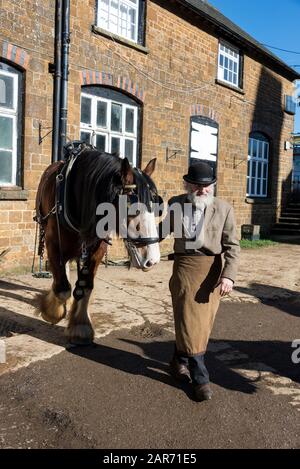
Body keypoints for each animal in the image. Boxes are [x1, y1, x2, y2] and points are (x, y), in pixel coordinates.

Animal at [34, 144, 161, 346]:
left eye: (156, 204)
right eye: (132, 205)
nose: (153, 259)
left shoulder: (97, 247)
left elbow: (85, 285)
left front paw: (80, 327)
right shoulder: (53, 241)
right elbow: (62, 287)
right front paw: (52, 311)